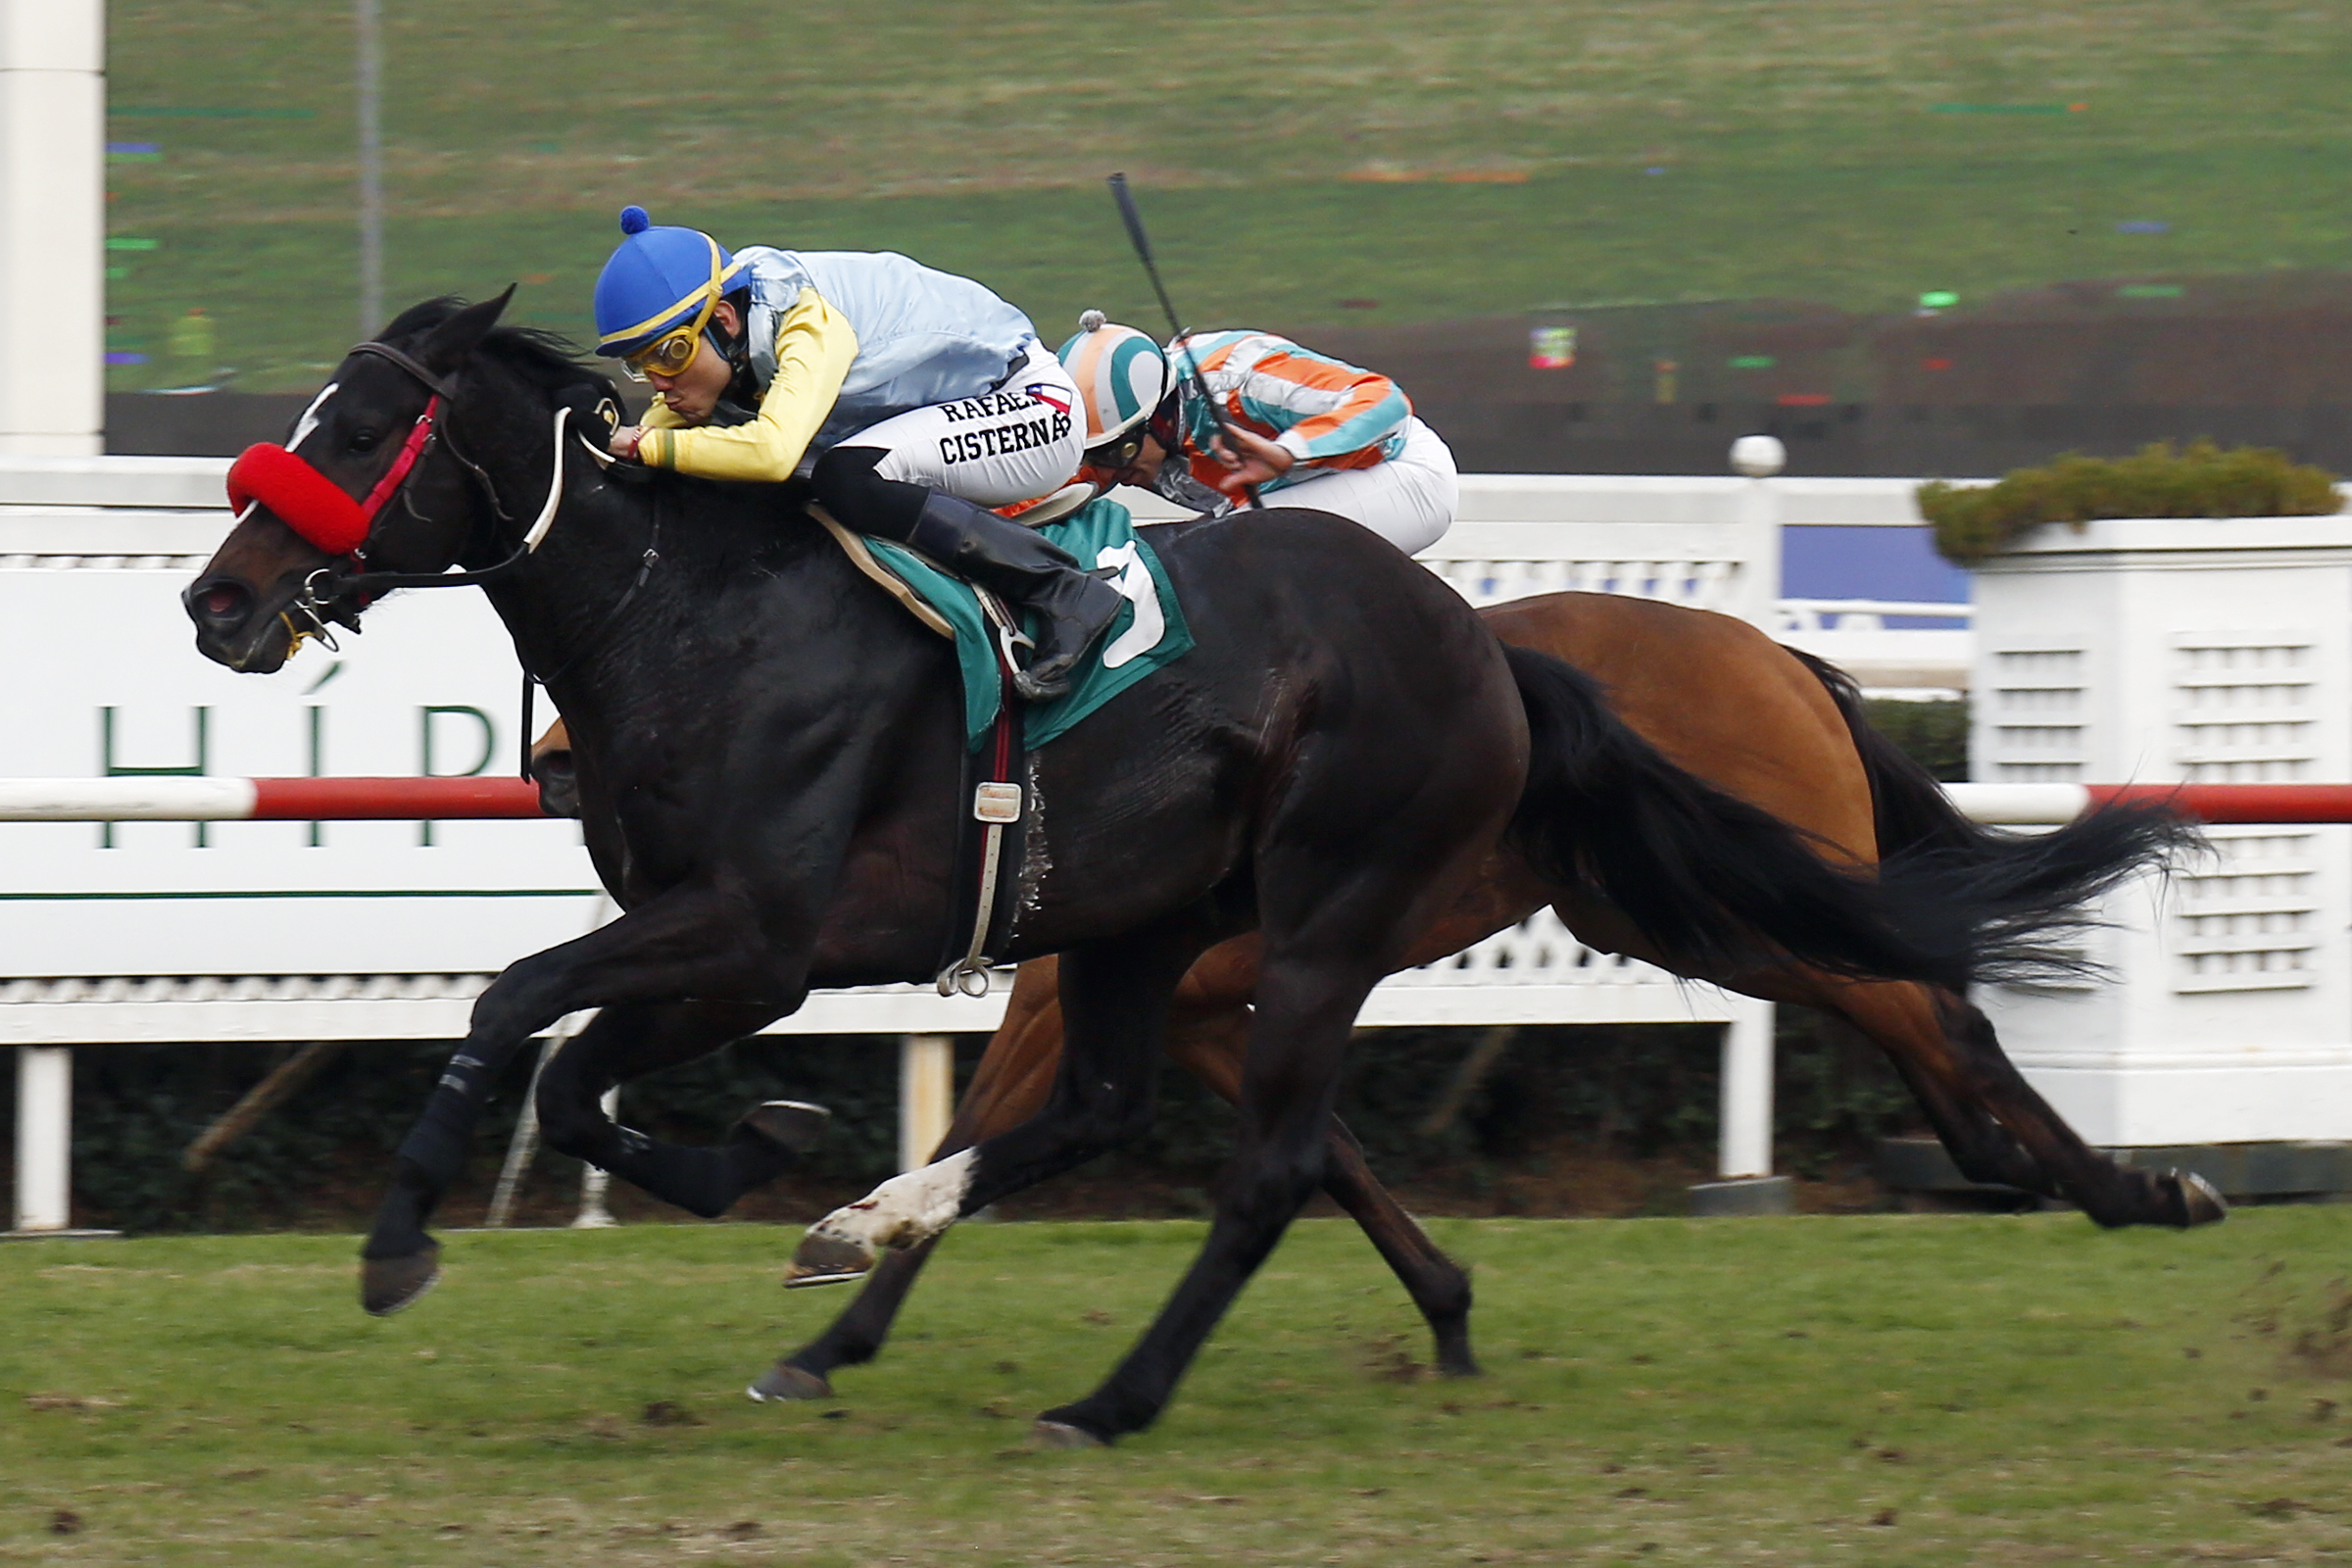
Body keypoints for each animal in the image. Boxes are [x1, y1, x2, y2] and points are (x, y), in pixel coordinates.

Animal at [754, 591, 2231, 1400]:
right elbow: (1332, 1157)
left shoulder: (1084, 995)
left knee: (1949, 1020)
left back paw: (2137, 1185)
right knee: (1932, 1029)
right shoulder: (1200, 1006)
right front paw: (1450, 1310)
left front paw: (834, 1322)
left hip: (1731, 901)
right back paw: (2087, 1181)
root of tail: (1780, 657)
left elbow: (973, 1136)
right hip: (1702, 911)